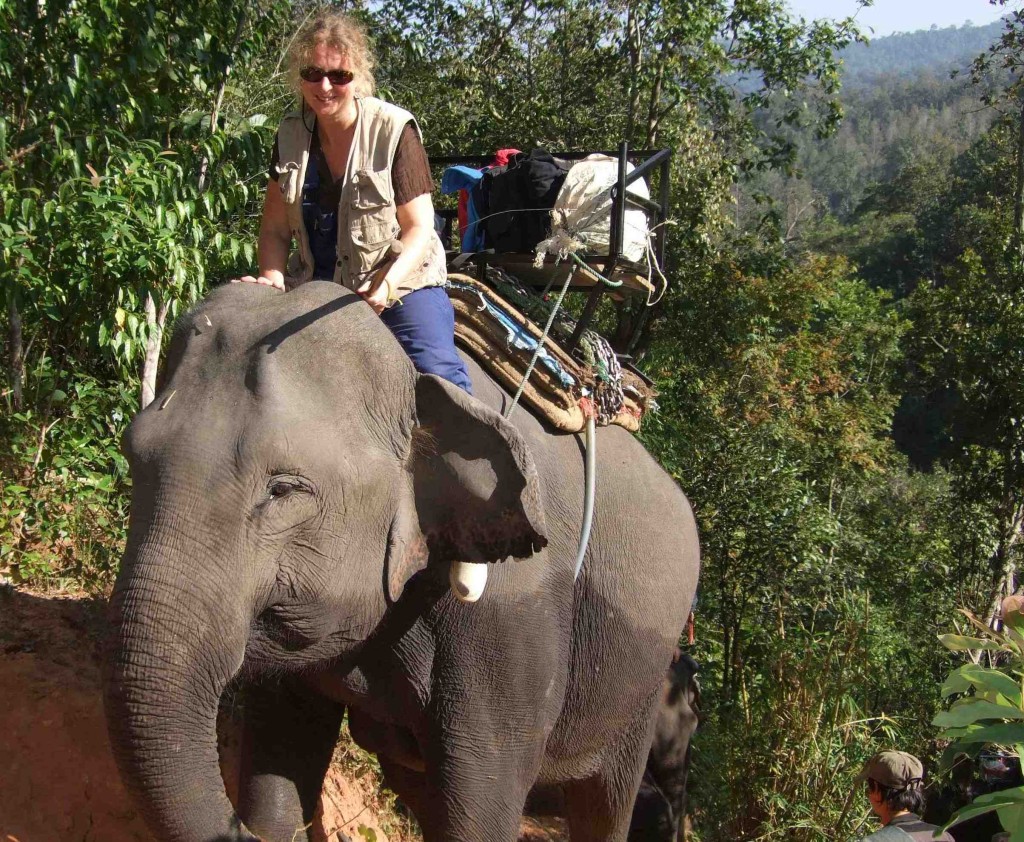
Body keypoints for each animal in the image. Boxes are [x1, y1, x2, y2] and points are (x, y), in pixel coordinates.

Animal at [103, 282, 700, 842]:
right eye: (134, 454)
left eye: (283, 489)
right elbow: (283, 749)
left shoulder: (515, 621)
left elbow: (481, 808)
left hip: (643, 688)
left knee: (605, 806)